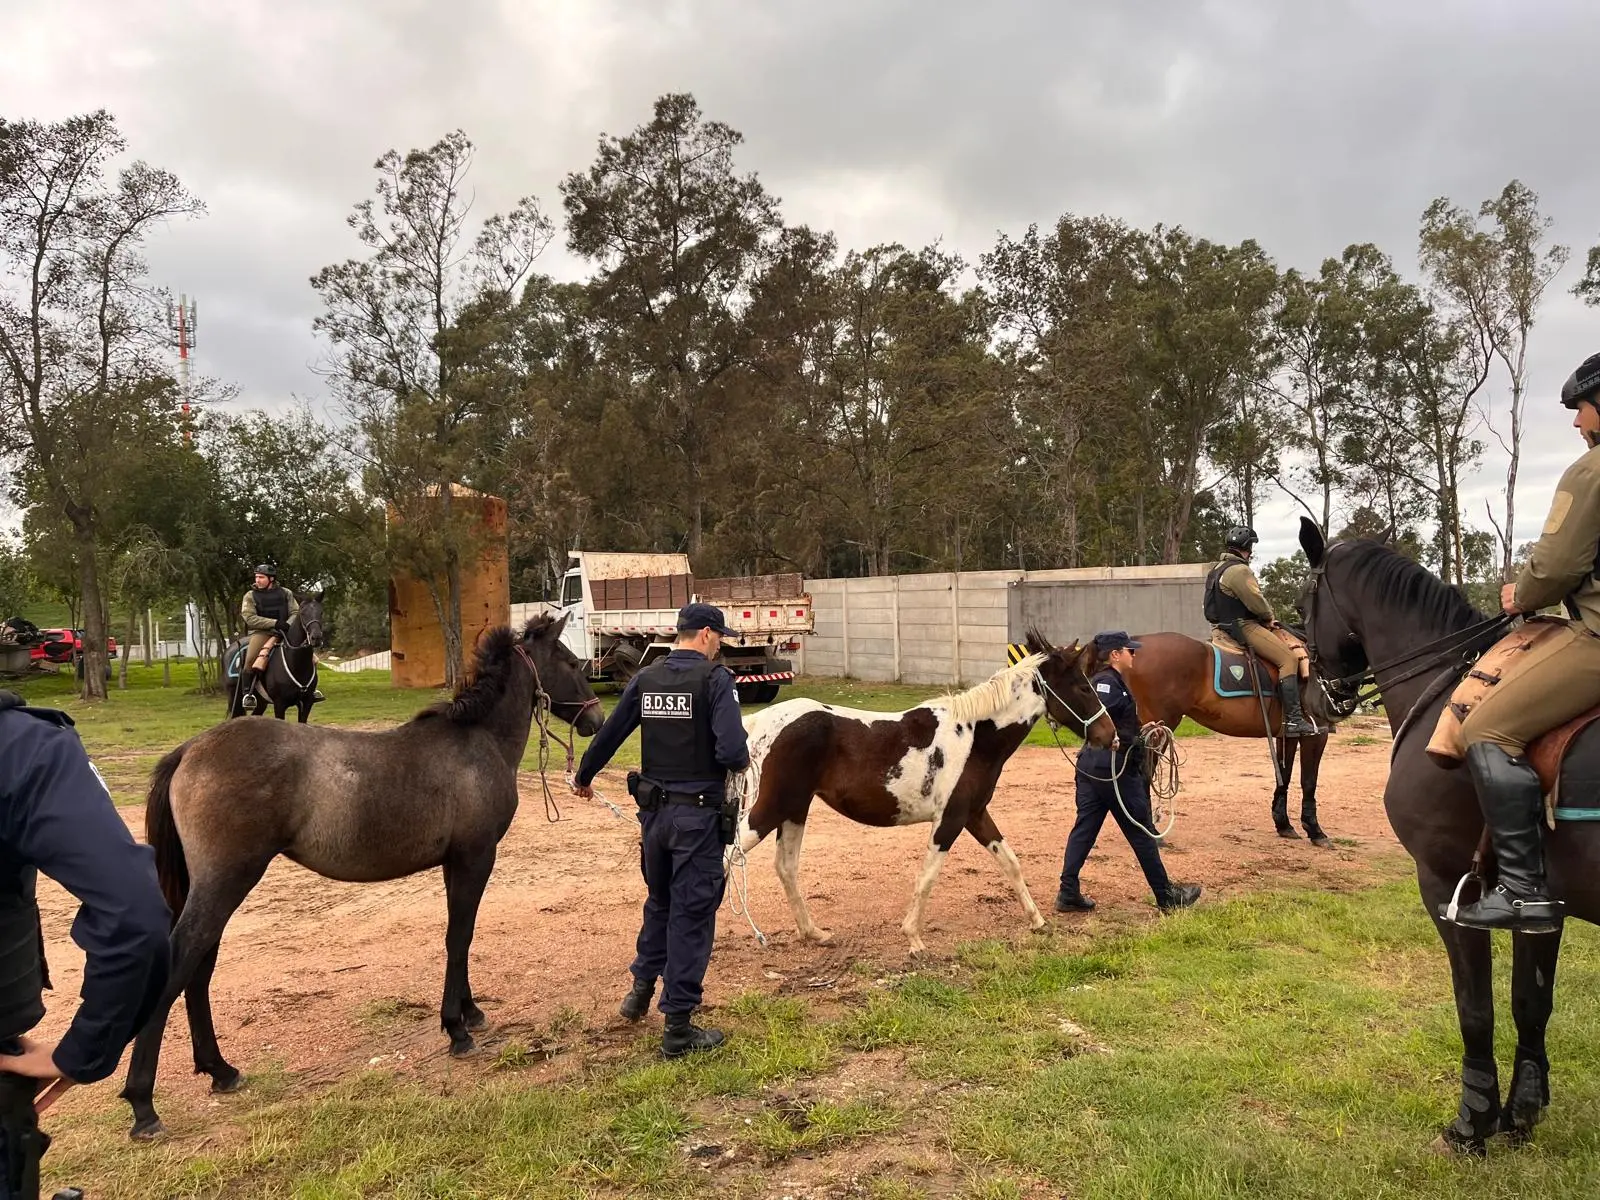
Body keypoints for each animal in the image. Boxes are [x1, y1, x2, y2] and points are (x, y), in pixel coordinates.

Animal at [120, 614, 605, 1140]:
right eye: (573, 662)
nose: (597, 720)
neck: (478, 743)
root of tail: (190, 749)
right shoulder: (475, 857)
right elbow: (460, 937)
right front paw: (456, 1029)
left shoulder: (455, 863)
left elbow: (460, 935)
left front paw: (471, 1013)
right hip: (225, 881)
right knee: (183, 961)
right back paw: (144, 1104)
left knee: (200, 967)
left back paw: (220, 1070)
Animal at [224, 592, 326, 722]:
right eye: (303, 613)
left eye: (321, 612)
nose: (316, 638)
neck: (296, 662)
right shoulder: (279, 704)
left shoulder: (307, 702)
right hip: (234, 698)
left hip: (261, 702)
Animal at [734, 630, 1116, 954]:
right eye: (1082, 687)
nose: (1109, 735)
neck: (975, 737)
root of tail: (757, 723)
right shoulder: (950, 820)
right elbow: (928, 876)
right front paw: (914, 939)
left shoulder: (976, 814)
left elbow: (1010, 863)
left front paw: (1037, 920)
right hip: (769, 810)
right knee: (731, 856)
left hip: (795, 809)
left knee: (786, 867)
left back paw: (814, 933)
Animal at [1088, 630, 1336, 847]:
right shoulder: (1318, 733)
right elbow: (1309, 781)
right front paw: (1315, 831)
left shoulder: (1289, 735)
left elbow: (1284, 776)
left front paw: (1284, 824)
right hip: (1157, 728)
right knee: (1143, 774)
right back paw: (1151, 831)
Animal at [1297, 515, 1600, 1155]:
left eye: (1302, 605)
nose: (1315, 699)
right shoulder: (1544, 907)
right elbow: (1531, 1002)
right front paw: (1520, 1114)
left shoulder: (1447, 887)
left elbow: (1475, 1009)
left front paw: (1472, 1123)